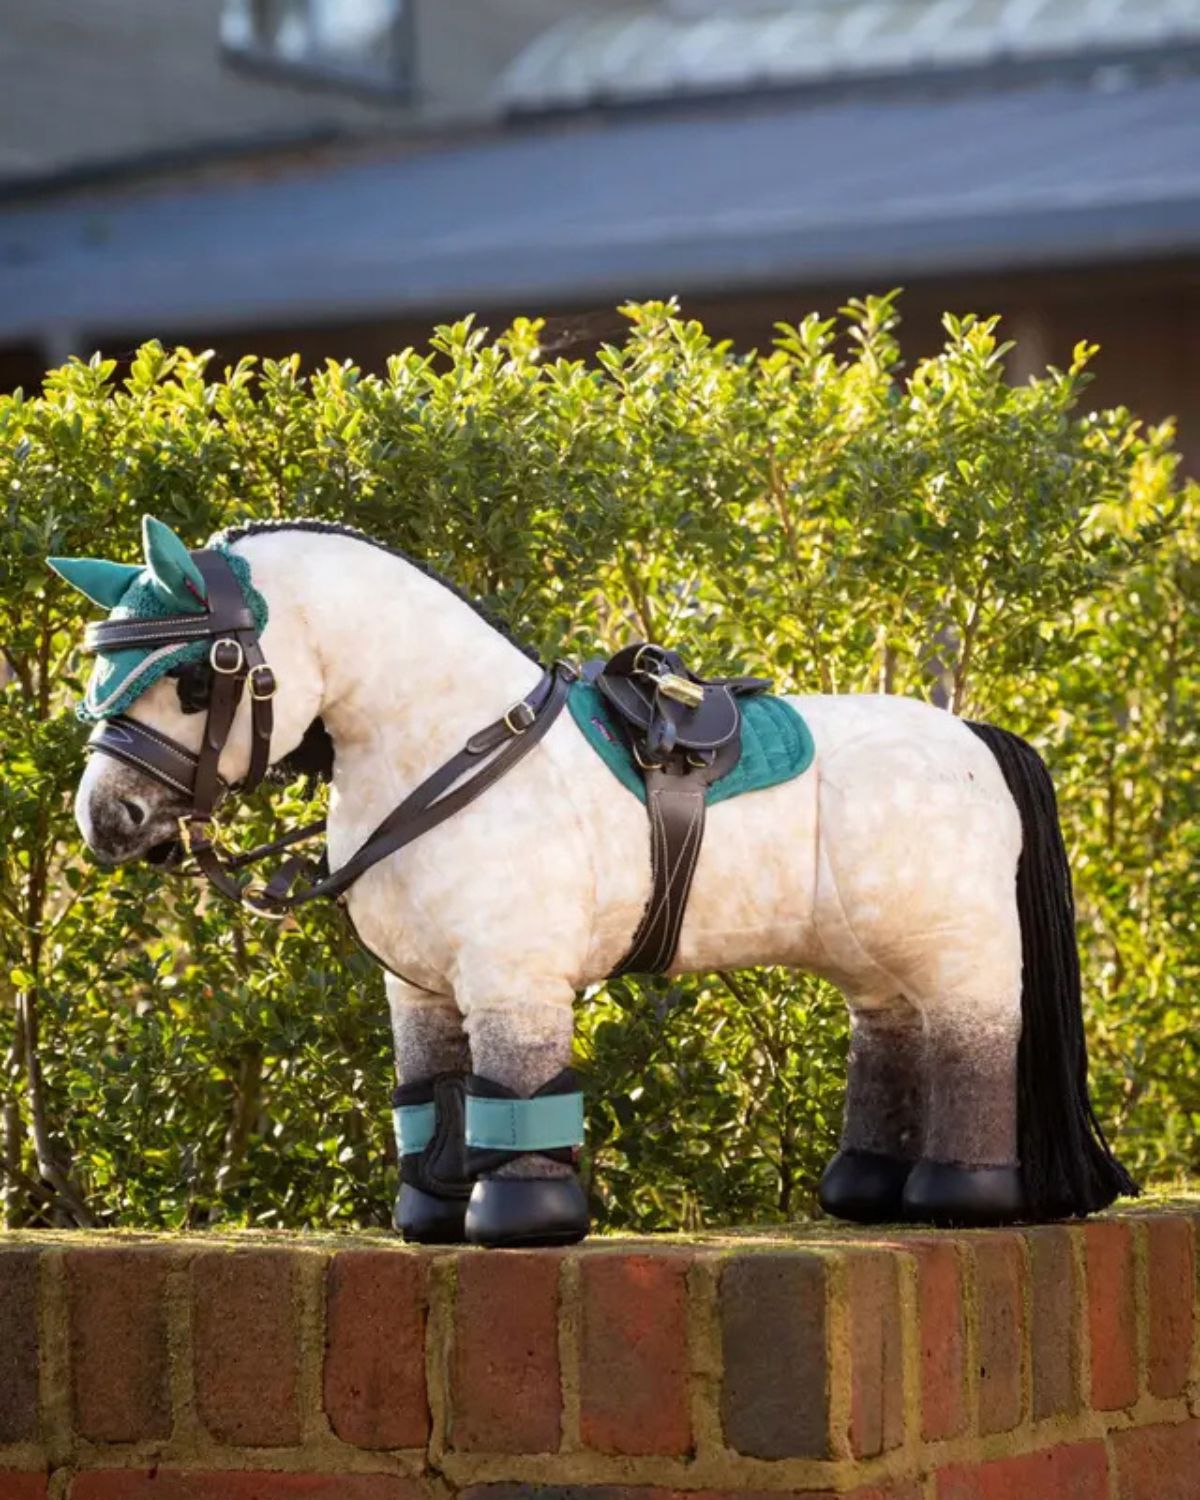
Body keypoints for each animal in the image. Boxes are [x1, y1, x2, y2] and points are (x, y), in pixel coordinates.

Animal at [52, 514, 1136, 1246]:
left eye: (199, 676)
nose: (109, 821)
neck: (452, 750)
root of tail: (976, 738)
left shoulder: (514, 976)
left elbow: (515, 1087)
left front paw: (522, 1217)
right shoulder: (420, 989)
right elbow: (437, 1096)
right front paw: (431, 1214)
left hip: (960, 955)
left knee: (971, 1046)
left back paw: (957, 1199)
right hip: (876, 961)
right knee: (893, 1039)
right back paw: (865, 1191)